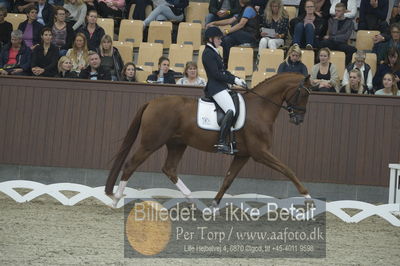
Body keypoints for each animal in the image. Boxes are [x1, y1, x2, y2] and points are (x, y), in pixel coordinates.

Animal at [104, 72, 310, 208]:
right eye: (304, 94)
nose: (299, 120)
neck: (260, 108)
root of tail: (151, 102)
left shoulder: (243, 155)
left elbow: (228, 179)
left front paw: (213, 206)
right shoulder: (260, 152)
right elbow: (287, 170)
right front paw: (307, 198)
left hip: (177, 144)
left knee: (169, 169)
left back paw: (193, 200)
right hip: (151, 143)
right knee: (131, 165)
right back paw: (116, 199)